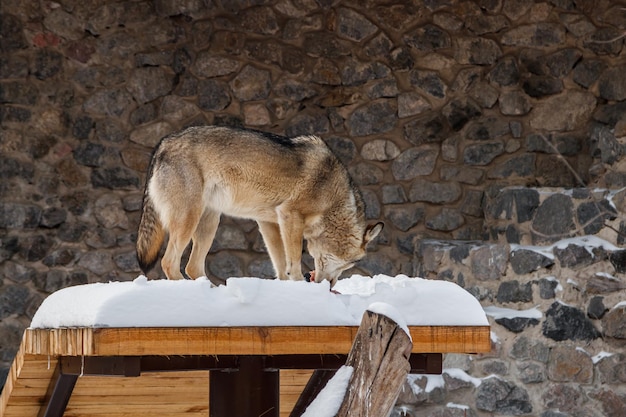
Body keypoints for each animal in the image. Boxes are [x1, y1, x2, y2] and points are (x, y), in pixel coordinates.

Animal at [135, 124, 382, 286]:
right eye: (353, 262)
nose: (330, 286)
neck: (335, 199)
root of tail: (163, 144)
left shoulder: (269, 222)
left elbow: (280, 264)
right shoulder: (290, 215)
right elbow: (293, 260)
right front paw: (299, 285)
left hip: (209, 222)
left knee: (192, 267)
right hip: (190, 220)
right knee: (169, 262)